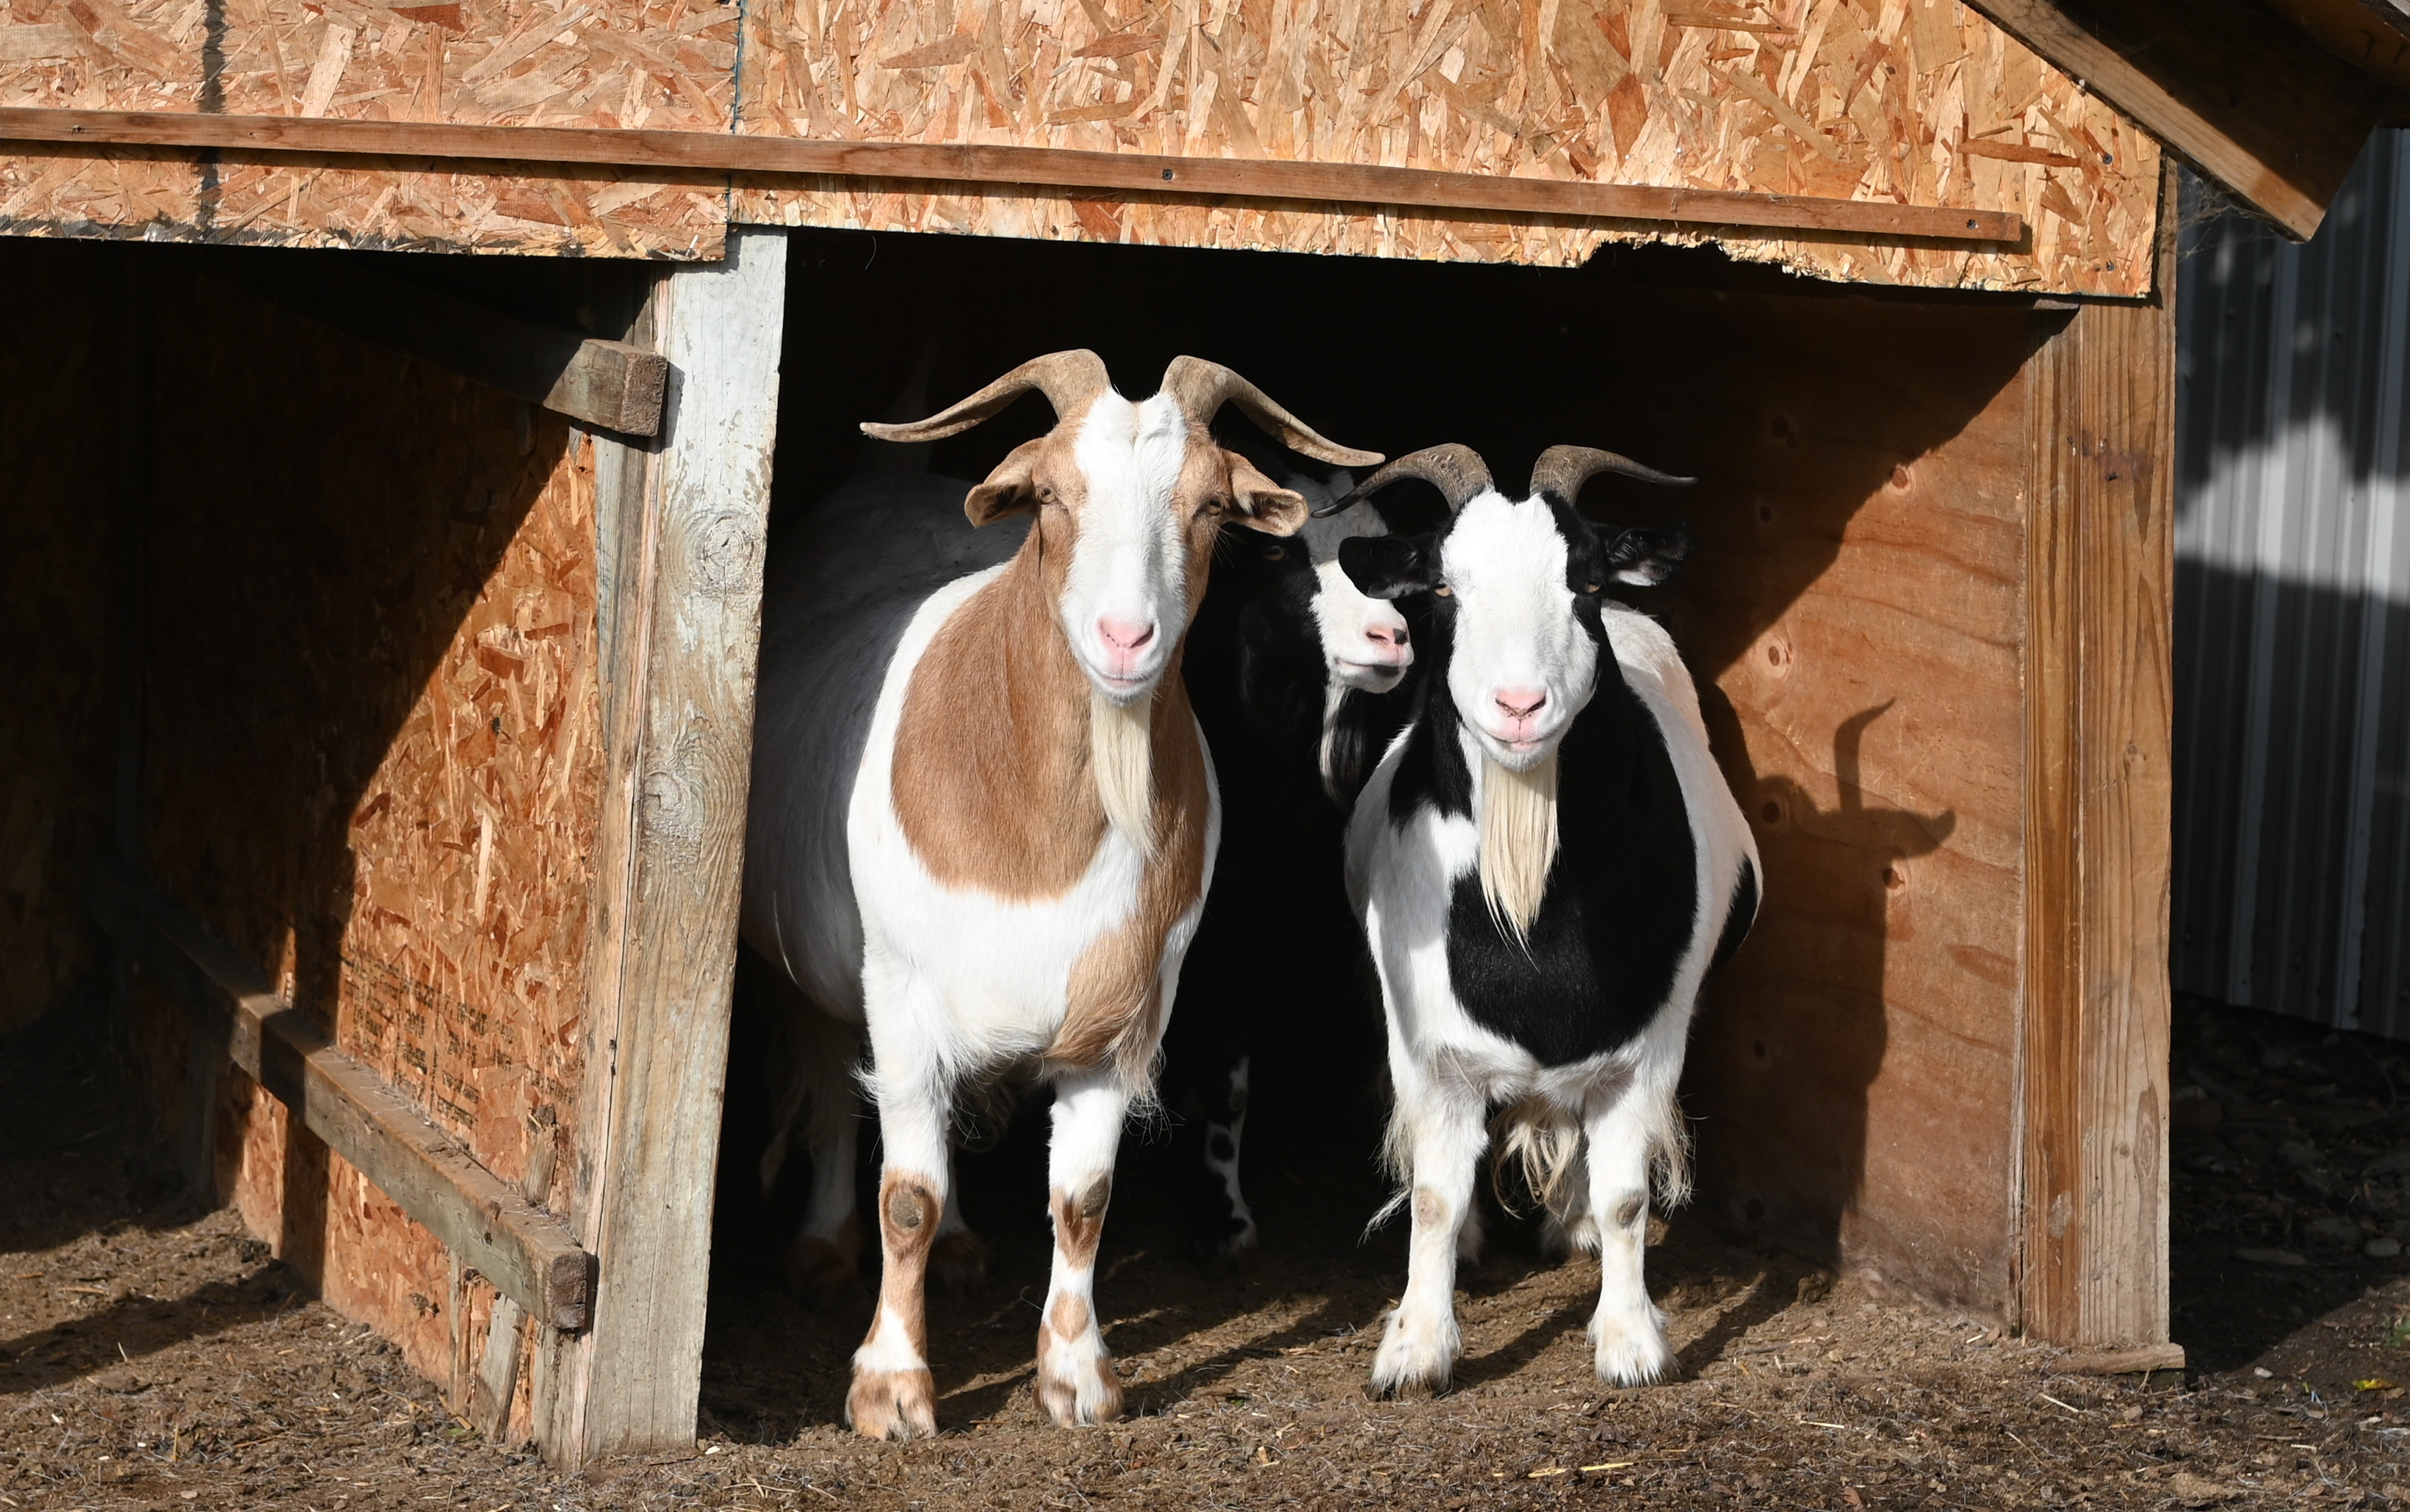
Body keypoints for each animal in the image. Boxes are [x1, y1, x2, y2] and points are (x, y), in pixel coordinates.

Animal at [738, 351, 1378, 1439]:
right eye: (1048, 496)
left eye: (1210, 505)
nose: (1126, 638)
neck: (1039, 832)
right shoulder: (899, 990)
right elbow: (904, 1193)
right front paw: (892, 1388)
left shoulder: (1121, 1014)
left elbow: (1083, 1196)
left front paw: (1078, 1376)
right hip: (818, 965)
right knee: (827, 1079)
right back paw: (822, 1248)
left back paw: (961, 1246)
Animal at [1163, 472, 1413, 1266]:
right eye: (1274, 550)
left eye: (1387, 552)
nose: (1389, 636)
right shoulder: (1219, 932)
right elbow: (1227, 1078)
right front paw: (1222, 1221)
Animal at [1334, 444, 1759, 1395]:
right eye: (1441, 586)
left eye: (1585, 583)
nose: (1519, 706)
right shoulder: (1426, 1047)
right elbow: (1433, 1195)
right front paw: (1414, 1349)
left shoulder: (1646, 1044)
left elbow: (1627, 1194)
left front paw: (1631, 1343)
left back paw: (1573, 1226)